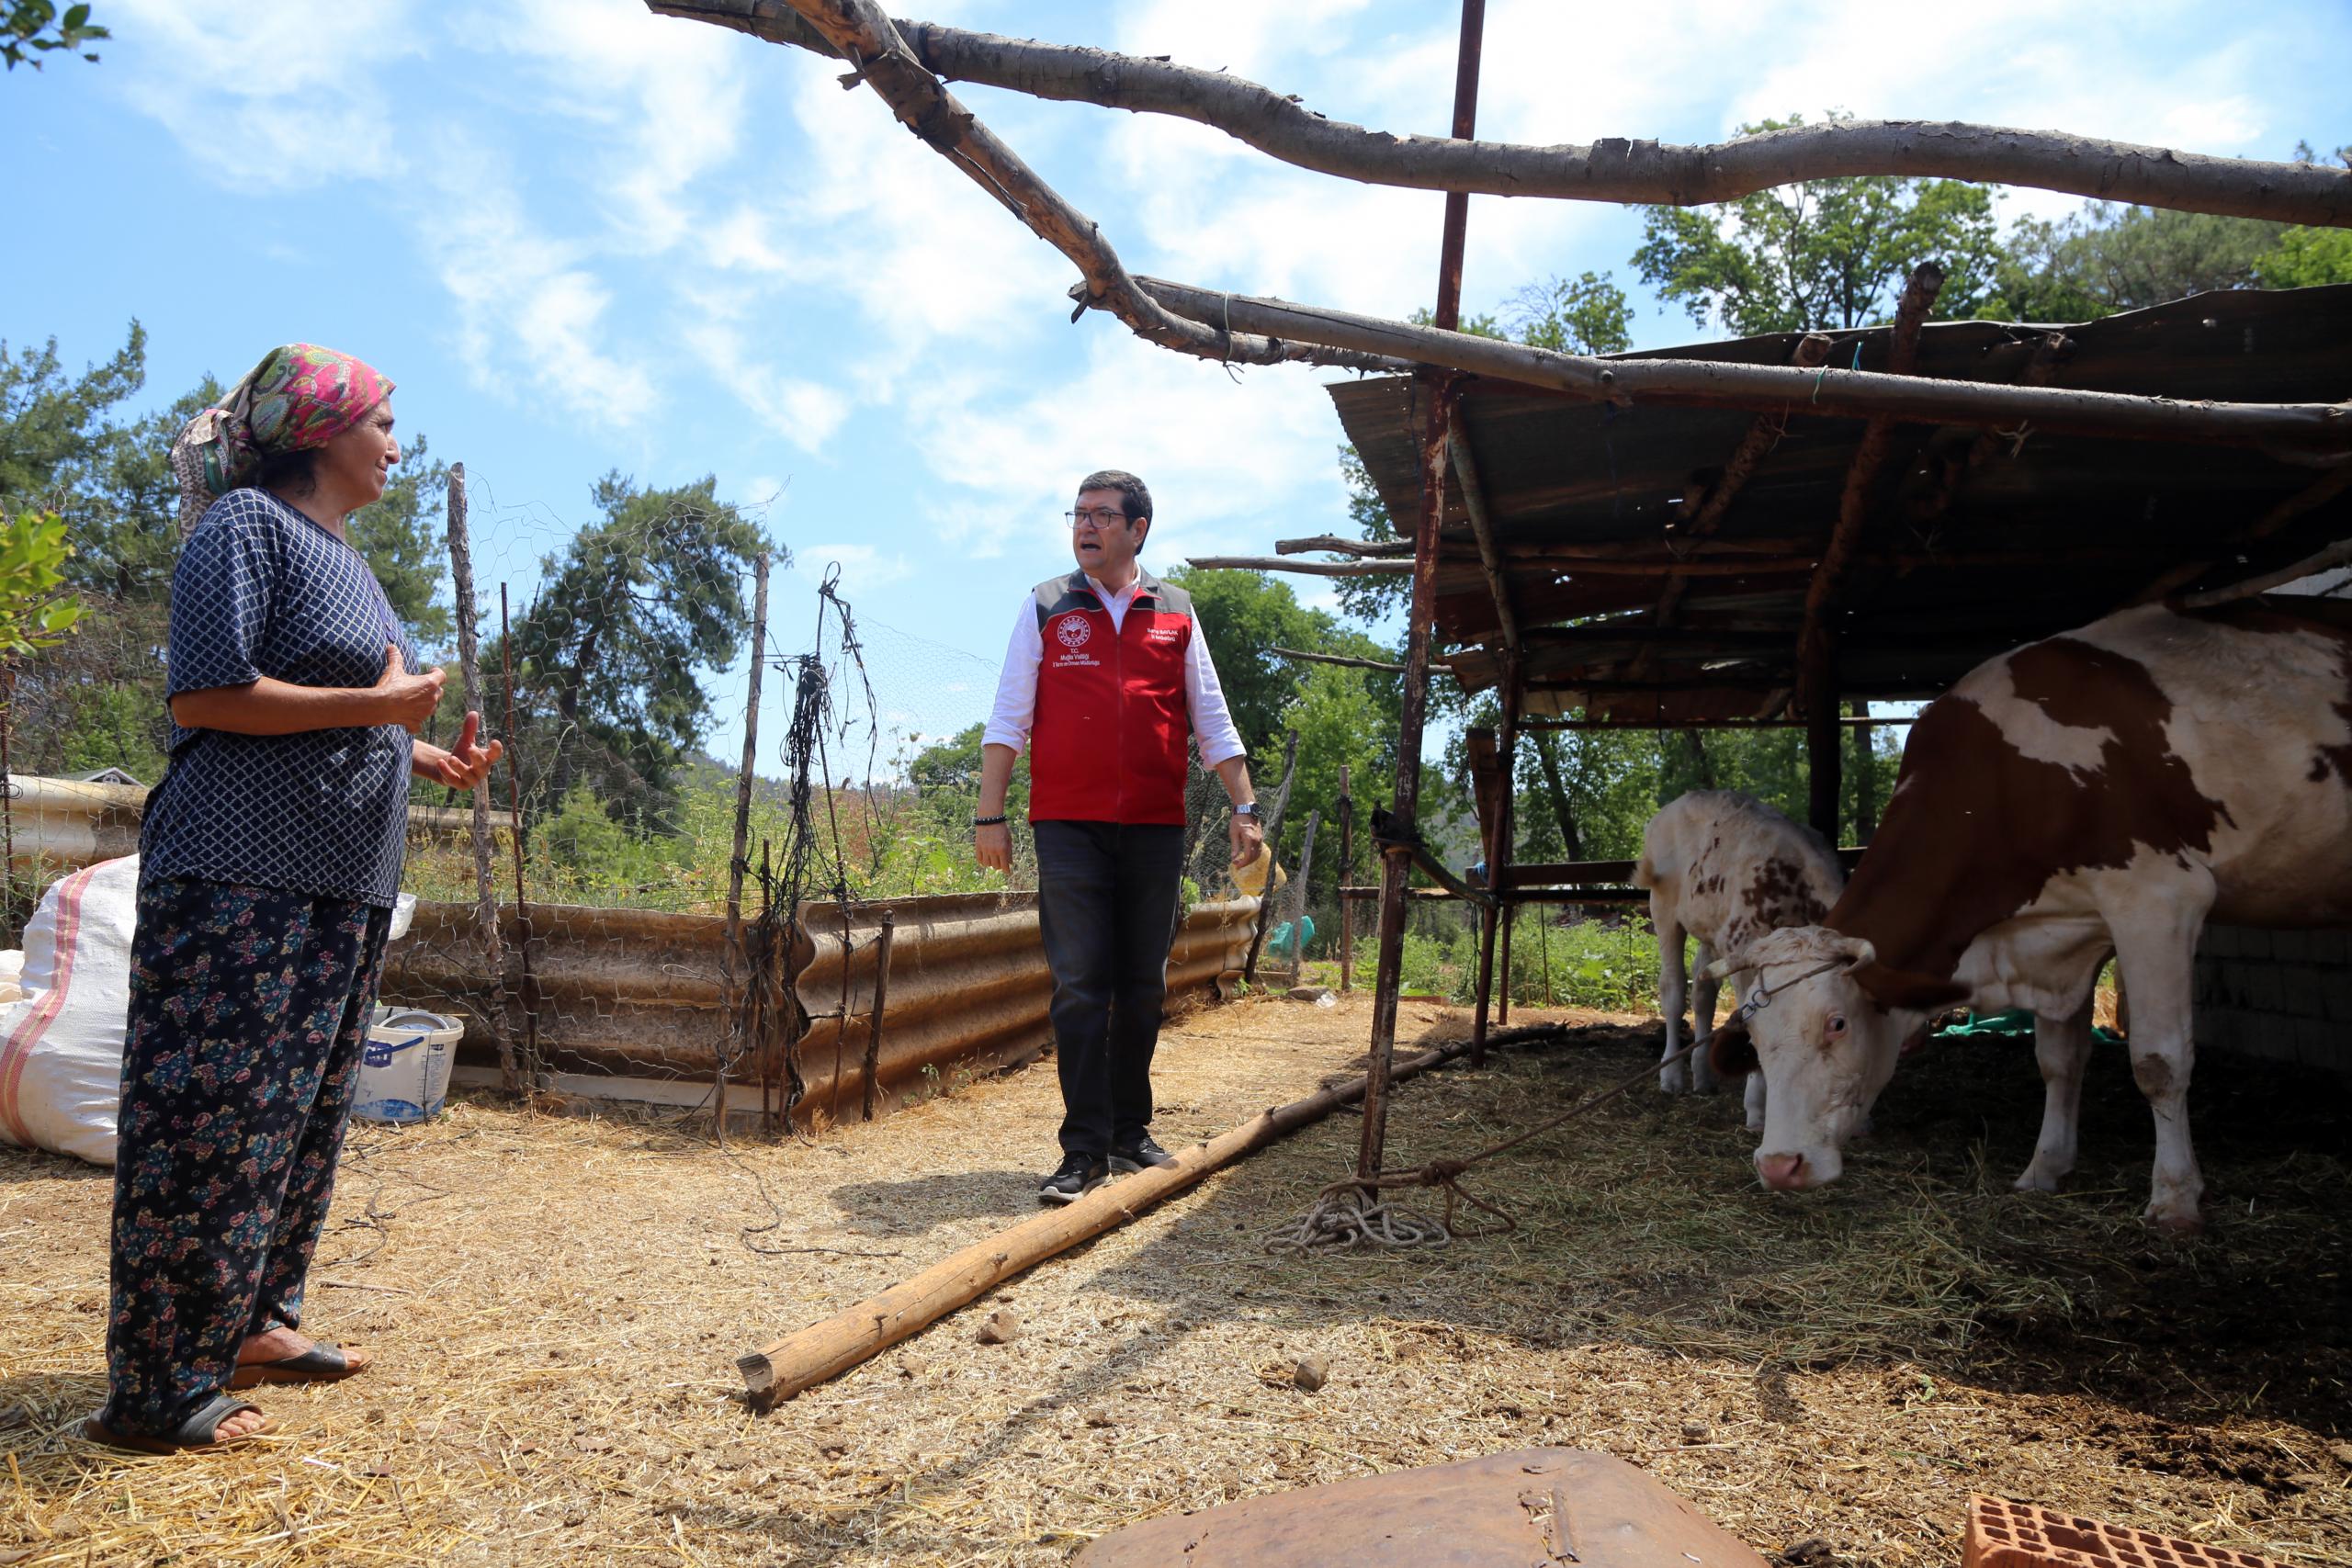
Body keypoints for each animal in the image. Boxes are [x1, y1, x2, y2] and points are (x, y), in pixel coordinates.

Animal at [1627, 789, 1844, 1123]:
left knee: (1703, 989)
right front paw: (1757, 1106)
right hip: (1663, 906)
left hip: (1712, 927)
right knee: (1673, 987)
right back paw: (1671, 1075)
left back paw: (1703, 1075)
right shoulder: (1744, 953)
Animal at [1712, 602, 2352, 1241]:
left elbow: (2159, 1062)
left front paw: (2174, 1199)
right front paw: (2044, 1169)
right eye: (1755, 1037)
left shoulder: (2158, 900)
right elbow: (2058, 1061)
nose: (1780, 1165)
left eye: (1838, 1024)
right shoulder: (2059, 937)